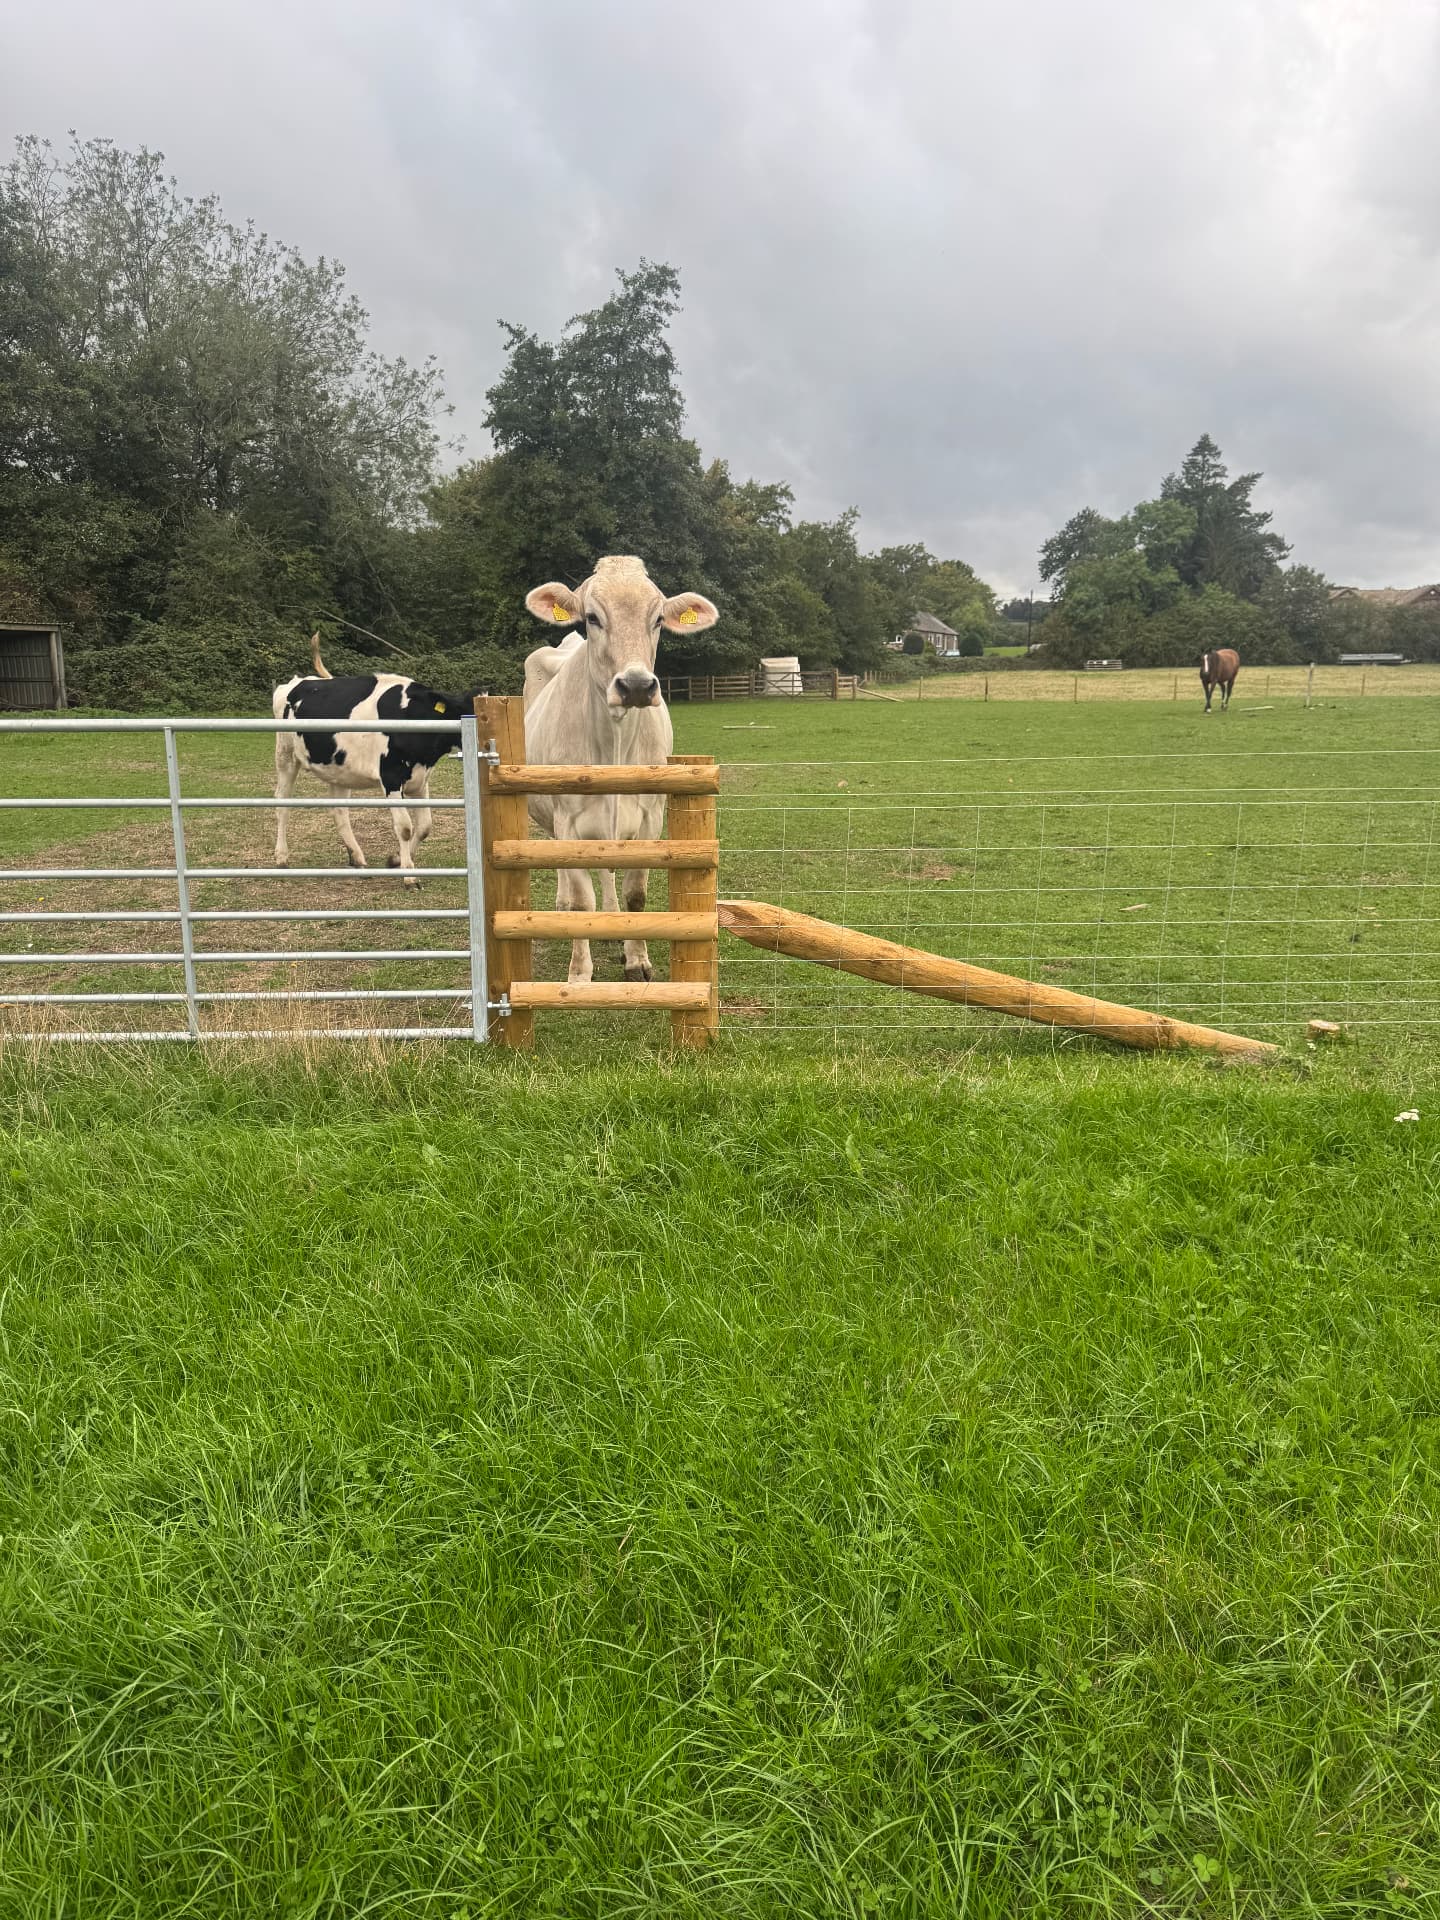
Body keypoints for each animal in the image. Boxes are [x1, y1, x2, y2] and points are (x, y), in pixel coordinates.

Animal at [271, 638, 478, 883]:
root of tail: (296, 682)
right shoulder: (391, 776)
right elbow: (405, 827)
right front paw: (409, 875)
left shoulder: (420, 778)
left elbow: (425, 826)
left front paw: (396, 860)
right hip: (285, 755)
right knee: (282, 802)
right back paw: (282, 857)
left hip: (339, 769)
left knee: (339, 811)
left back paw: (357, 858)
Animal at [522, 555, 718, 984]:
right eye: (592, 617)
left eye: (658, 618)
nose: (636, 686)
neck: (613, 742)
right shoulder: (568, 823)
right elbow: (582, 901)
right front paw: (580, 973)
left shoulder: (649, 818)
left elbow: (635, 893)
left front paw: (637, 959)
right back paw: (562, 906)